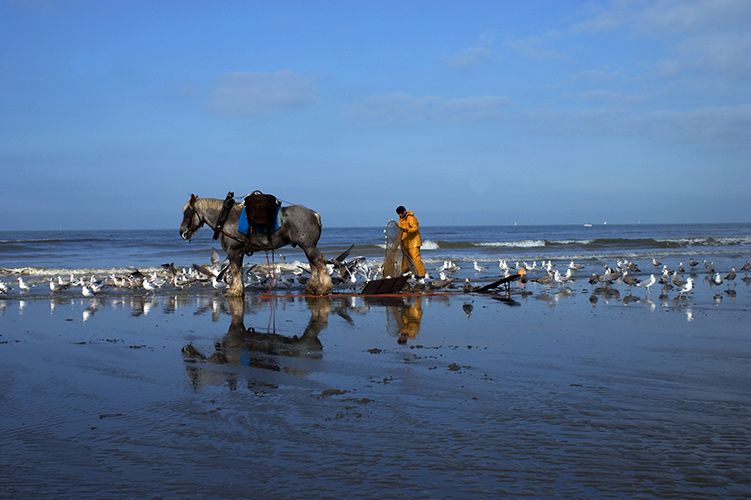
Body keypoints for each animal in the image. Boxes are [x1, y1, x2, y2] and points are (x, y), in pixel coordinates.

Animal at [179, 194, 332, 296]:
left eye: (187, 213)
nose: (182, 232)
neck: (225, 218)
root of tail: (314, 214)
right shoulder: (239, 252)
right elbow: (239, 271)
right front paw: (239, 289)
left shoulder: (233, 251)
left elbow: (235, 271)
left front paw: (233, 291)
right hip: (307, 247)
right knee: (313, 264)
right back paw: (312, 288)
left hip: (308, 246)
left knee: (319, 262)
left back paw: (324, 288)